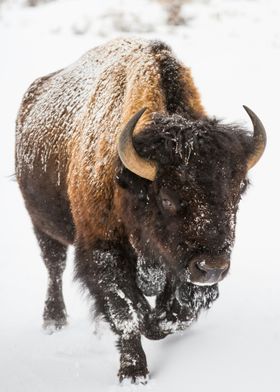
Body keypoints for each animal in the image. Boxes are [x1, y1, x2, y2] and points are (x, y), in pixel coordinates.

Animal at [15, 38, 266, 384]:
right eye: (168, 198)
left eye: (238, 192)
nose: (212, 267)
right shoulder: (103, 251)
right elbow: (127, 313)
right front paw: (134, 372)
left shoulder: (180, 267)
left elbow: (177, 312)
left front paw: (157, 323)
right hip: (42, 223)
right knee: (54, 266)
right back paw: (54, 321)